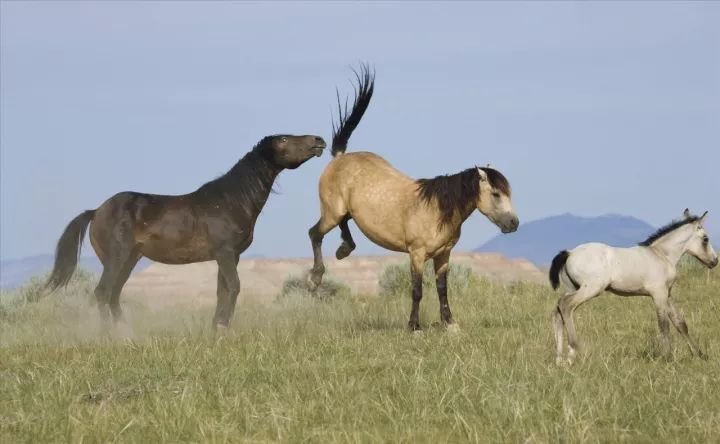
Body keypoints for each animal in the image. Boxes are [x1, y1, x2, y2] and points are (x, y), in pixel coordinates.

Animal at [46, 134, 324, 328]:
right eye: (283, 139)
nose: (318, 141)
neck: (230, 201)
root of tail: (96, 211)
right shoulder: (225, 252)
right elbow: (234, 287)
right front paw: (222, 327)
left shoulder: (230, 255)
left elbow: (223, 291)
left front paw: (217, 329)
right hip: (117, 258)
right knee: (103, 293)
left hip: (129, 260)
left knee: (114, 295)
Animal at [548, 209, 716, 364]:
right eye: (705, 239)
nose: (714, 261)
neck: (661, 255)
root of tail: (569, 253)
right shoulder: (658, 293)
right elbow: (664, 325)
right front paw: (668, 358)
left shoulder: (667, 294)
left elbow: (680, 323)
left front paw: (700, 355)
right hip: (591, 289)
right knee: (566, 306)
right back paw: (573, 351)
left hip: (573, 288)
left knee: (557, 311)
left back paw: (560, 359)